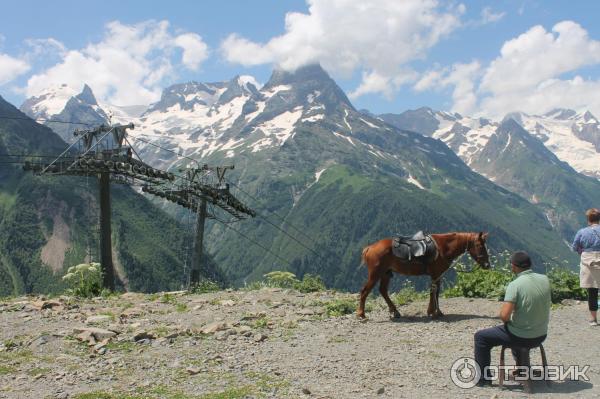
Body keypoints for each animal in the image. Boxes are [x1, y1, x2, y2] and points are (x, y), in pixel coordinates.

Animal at [358, 233, 490, 320]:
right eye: (480, 245)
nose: (487, 265)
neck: (443, 247)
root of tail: (370, 248)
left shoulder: (438, 275)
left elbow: (435, 292)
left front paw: (436, 312)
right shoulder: (435, 275)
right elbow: (434, 292)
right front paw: (433, 312)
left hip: (386, 274)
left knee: (383, 291)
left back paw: (395, 312)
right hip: (375, 274)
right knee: (365, 291)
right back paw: (361, 314)